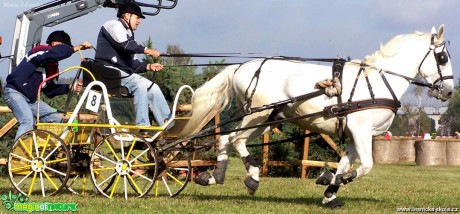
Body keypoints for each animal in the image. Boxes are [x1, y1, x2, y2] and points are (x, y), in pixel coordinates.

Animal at [175, 25, 452, 207]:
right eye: (442, 57)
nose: (449, 91)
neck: (377, 81)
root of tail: (242, 66)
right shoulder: (361, 131)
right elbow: (364, 166)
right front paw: (333, 179)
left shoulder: (355, 135)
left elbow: (345, 163)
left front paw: (330, 191)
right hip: (259, 115)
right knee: (236, 140)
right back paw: (252, 177)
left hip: (265, 119)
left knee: (225, 139)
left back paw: (214, 177)